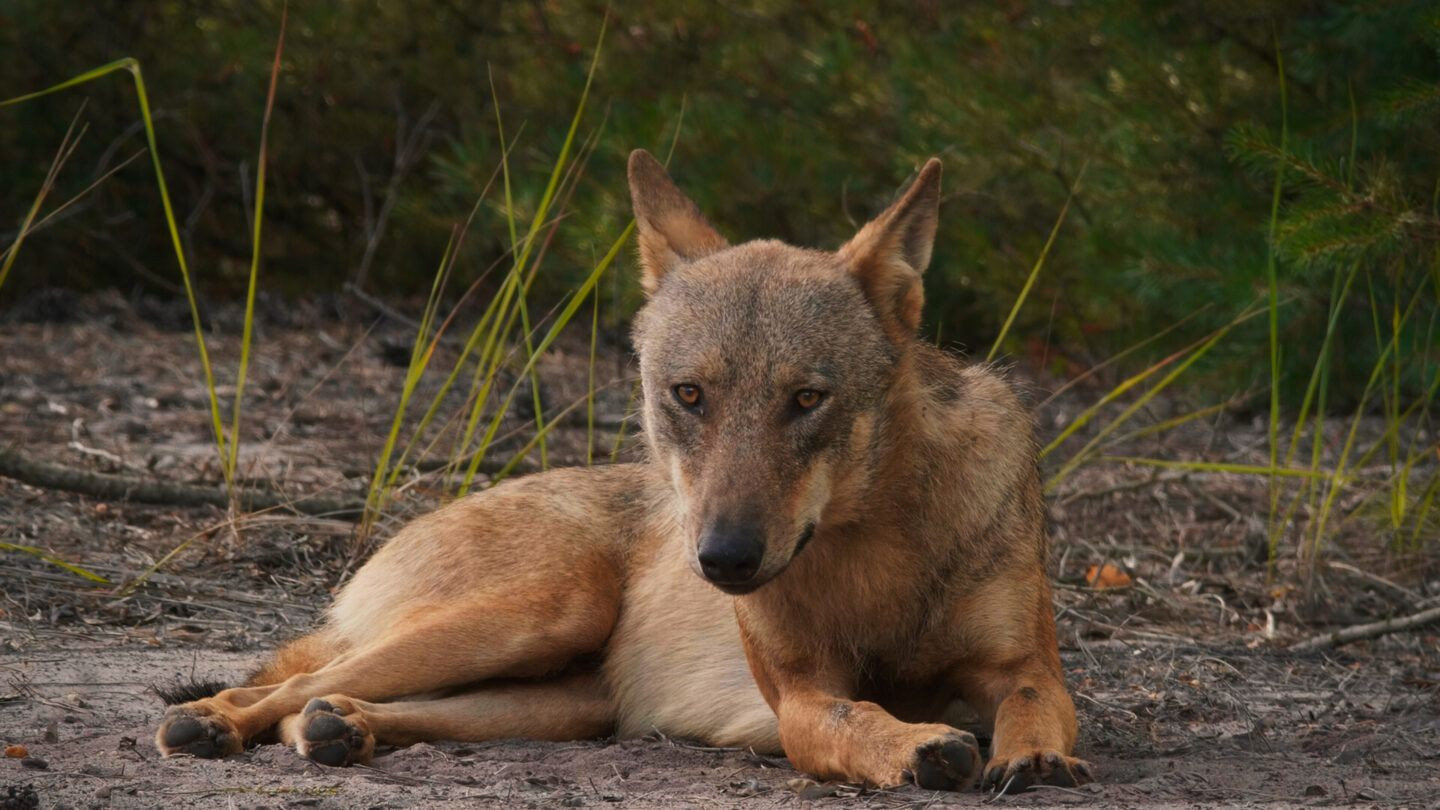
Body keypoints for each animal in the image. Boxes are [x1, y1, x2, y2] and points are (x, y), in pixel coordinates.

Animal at [151, 149, 1088, 789]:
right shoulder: (798, 697)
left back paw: (339, 730)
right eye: (690, 394)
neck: (874, 552)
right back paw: (208, 724)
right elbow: (851, 715)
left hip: (563, 699)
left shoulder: (1023, 666)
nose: (723, 560)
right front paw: (917, 745)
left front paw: (1033, 758)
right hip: (537, 615)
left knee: (326, 704)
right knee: (289, 686)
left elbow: (1039, 703)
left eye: (806, 399)